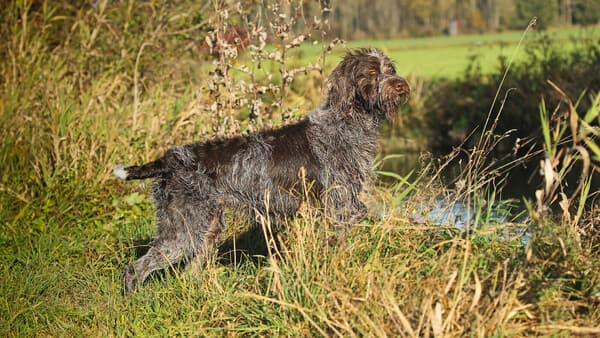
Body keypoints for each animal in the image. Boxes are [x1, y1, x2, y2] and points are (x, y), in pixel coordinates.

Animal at [115, 47, 410, 294]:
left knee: (188, 271)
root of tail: (171, 158)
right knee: (135, 268)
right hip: (183, 229)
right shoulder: (340, 209)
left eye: (391, 68)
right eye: (371, 72)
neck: (347, 123)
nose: (401, 84)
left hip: (206, 227)